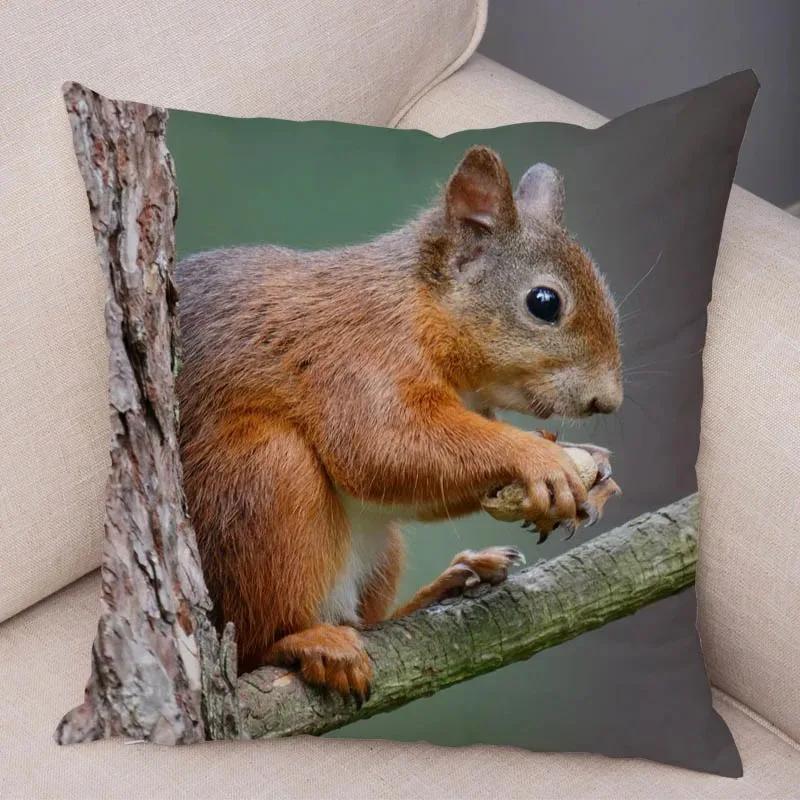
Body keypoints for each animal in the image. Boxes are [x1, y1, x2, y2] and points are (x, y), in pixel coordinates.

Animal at [175, 145, 622, 700]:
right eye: (545, 302)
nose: (609, 401)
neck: (422, 305)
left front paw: (595, 472)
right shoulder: (359, 359)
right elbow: (381, 449)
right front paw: (539, 456)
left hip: (380, 549)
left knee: (371, 619)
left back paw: (451, 583)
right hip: (262, 477)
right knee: (257, 646)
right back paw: (307, 642)